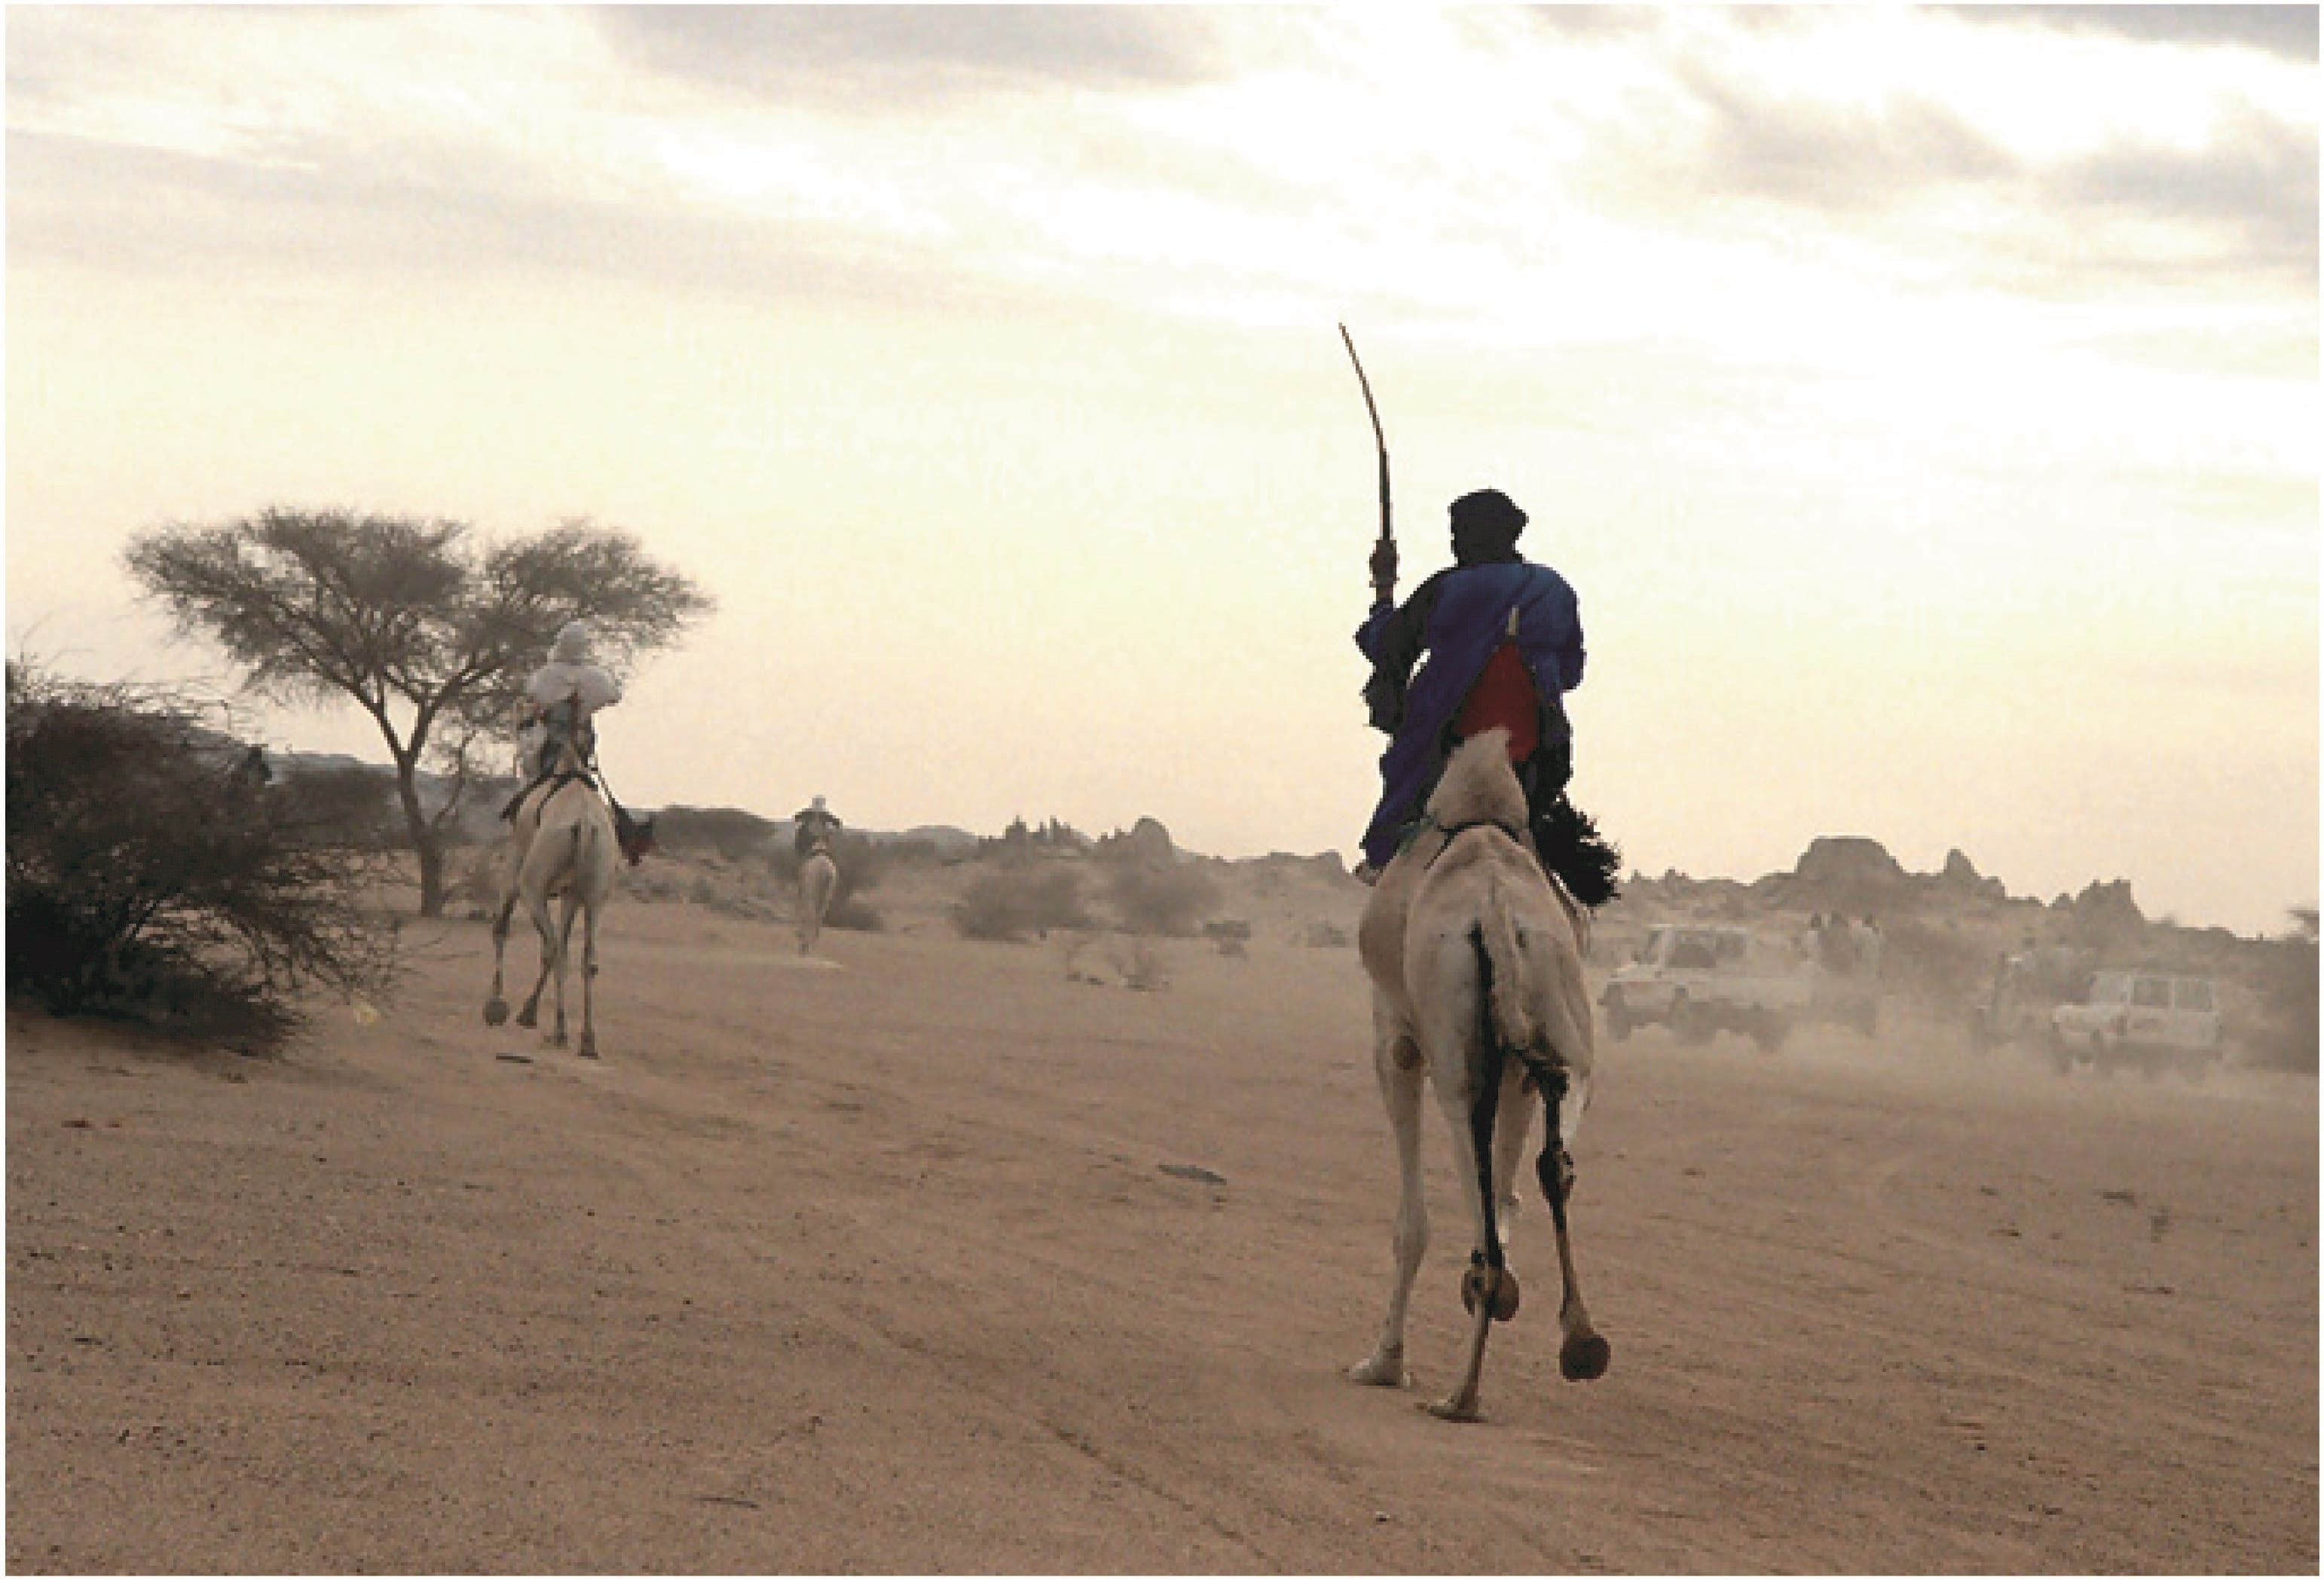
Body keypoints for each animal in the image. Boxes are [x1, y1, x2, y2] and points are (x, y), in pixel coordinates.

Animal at [483, 734, 618, 1055]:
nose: (521, 759)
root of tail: (585, 824)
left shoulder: (515, 866)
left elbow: (502, 927)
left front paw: (496, 1007)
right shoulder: (571, 894)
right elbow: (566, 944)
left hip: (533, 884)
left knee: (553, 945)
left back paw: (550, 1025)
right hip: (597, 892)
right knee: (585, 957)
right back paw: (586, 1040)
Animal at [794, 845, 841, 957]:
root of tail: (827, 873)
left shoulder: (803, 892)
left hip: (812, 894)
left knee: (811, 915)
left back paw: (805, 946)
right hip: (826, 898)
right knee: (819, 918)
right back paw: (812, 945)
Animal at [1347, 729, 1617, 1422]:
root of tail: (1494, 910)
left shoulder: (1395, 1039)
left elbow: (1413, 1223)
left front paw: (1383, 1363)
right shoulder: (1521, 1071)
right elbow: (1508, 1187)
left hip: (1452, 1047)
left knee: (1478, 1190)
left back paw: (1461, 1390)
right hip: (1562, 1023)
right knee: (1553, 1163)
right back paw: (1578, 1340)